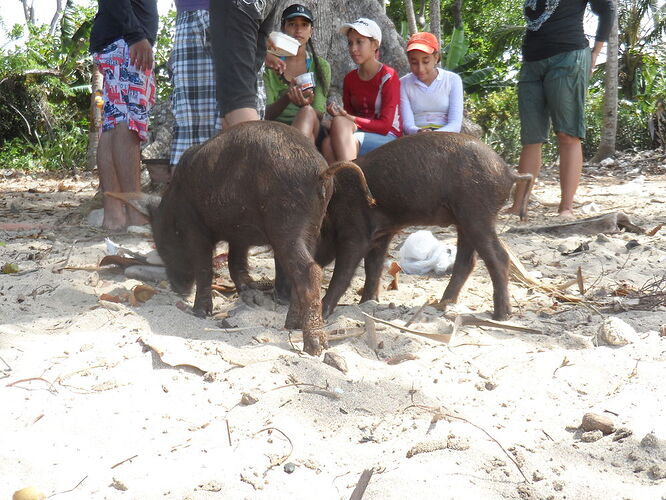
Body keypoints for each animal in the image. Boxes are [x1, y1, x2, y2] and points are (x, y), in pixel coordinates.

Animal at [143, 121, 338, 356]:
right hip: (310, 227)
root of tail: (320, 172)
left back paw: (314, 347)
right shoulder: (238, 233)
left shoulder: (194, 228)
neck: (174, 205)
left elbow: (204, 266)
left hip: (287, 223)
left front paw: (200, 312)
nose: (177, 289)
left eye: (164, 247)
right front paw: (247, 288)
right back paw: (291, 325)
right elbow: (235, 260)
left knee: (310, 270)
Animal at [314, 132, 532, 320]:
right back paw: (442, 304)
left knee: (498, 257)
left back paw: (500, 316)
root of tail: (509, 172)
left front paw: (324, 312)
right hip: (466, 221)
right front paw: (367, 303)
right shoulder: (382, 234)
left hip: (477, 213)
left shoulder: (355, 231)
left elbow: (344, 272)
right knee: (467, 261)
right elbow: (373, 267)